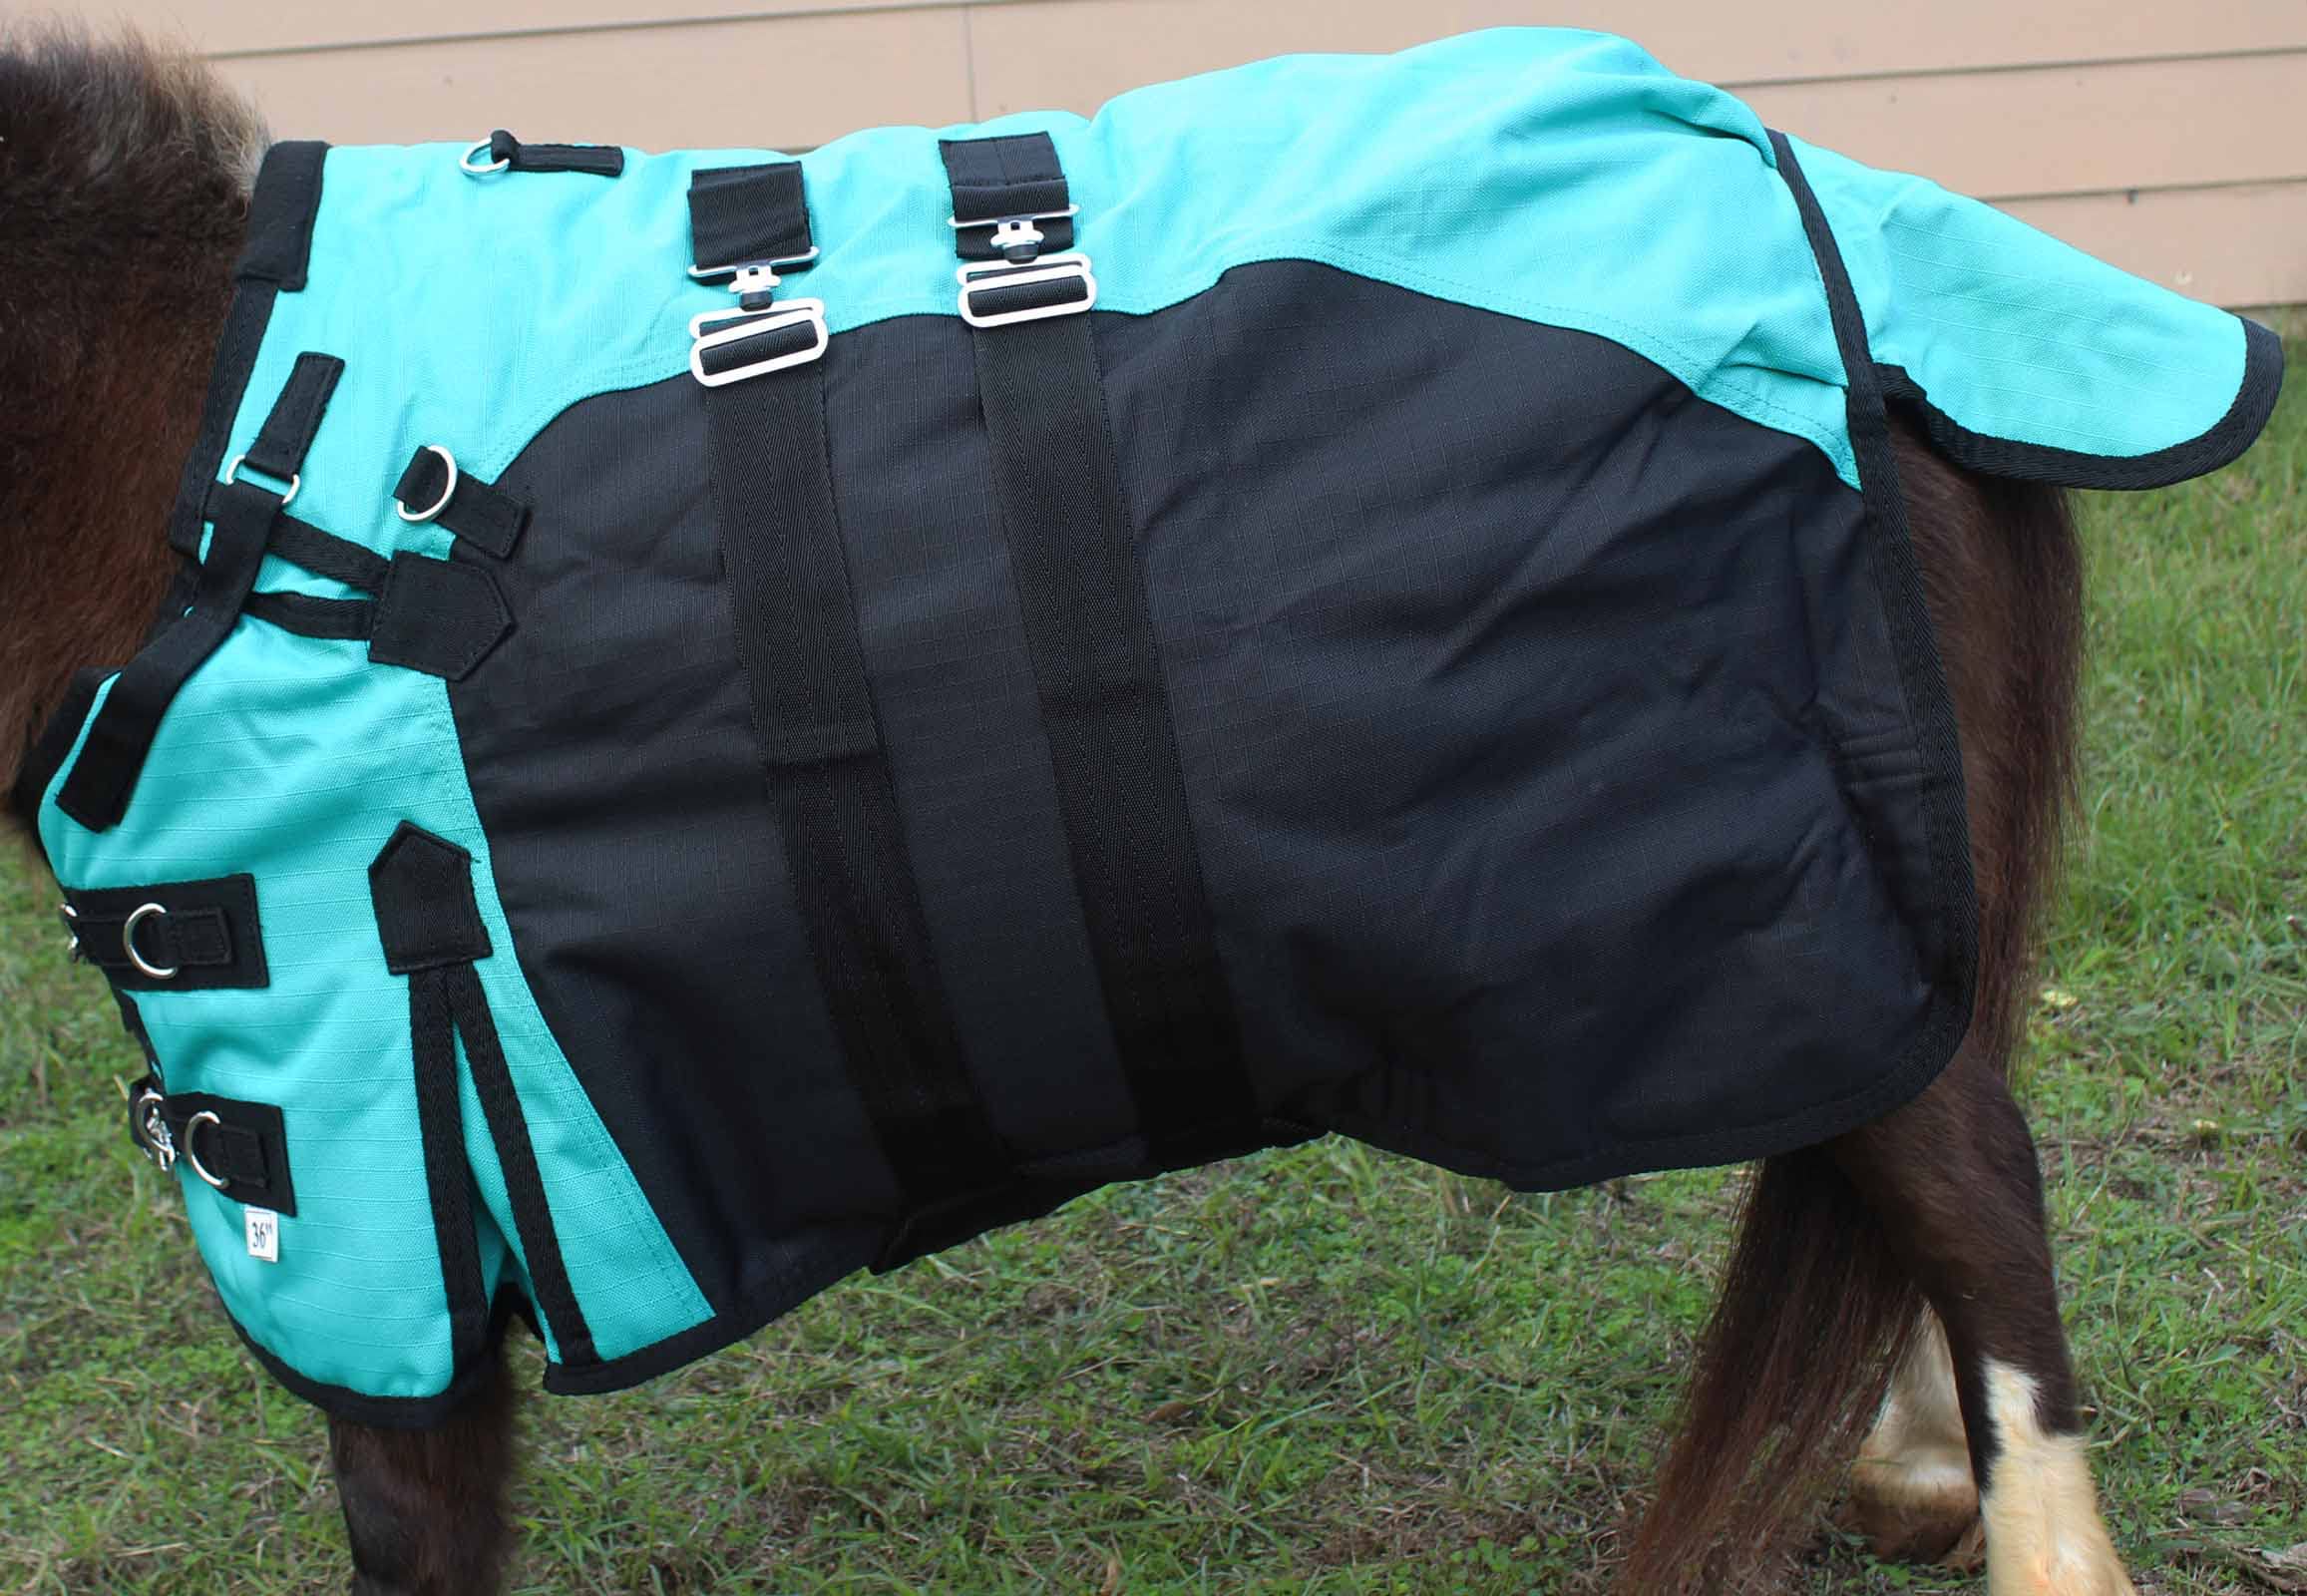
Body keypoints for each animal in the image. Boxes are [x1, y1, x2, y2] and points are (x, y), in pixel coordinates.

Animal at [0, 25, 2160, 1595]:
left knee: (1976, 1204)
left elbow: (410, 1520)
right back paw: (1911, 1472)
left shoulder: (378, 1184)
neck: (205, 467)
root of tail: (1860, 239)